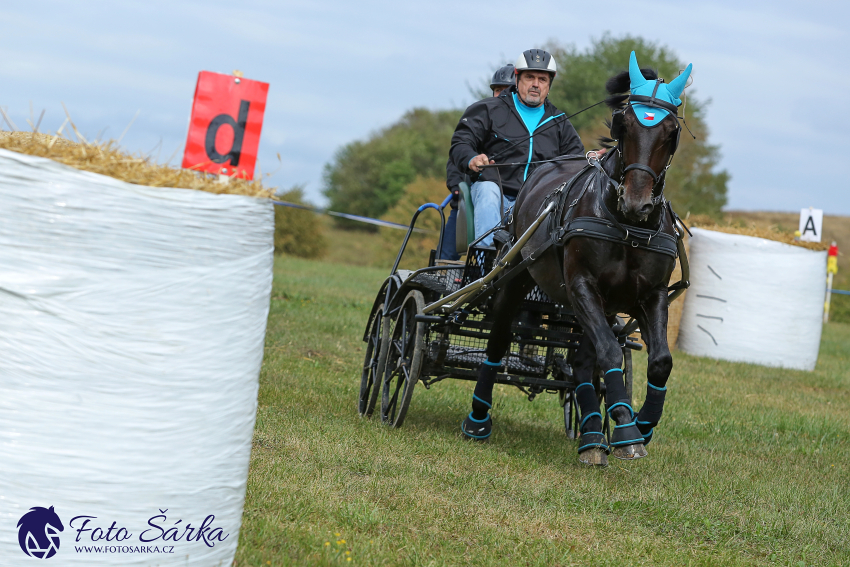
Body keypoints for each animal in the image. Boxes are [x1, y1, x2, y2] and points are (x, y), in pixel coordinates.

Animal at [460, 57, 684, 468]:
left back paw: (593, 436)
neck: (626, 226)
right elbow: (610, 352)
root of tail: (543, 170)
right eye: (624, 123)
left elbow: (660, 360)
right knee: (498, 343)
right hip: (517, 278)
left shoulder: (651, 294)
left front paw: (642, 424)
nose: (637, 202)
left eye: (671, 130)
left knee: (582, 362)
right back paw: (478, 419)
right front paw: (626, 430)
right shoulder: (582, 285)